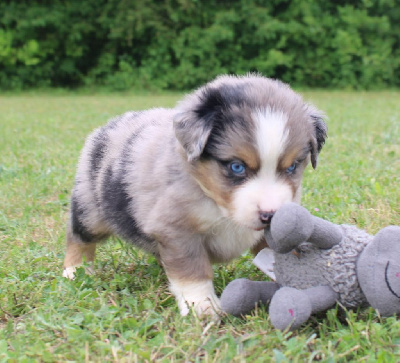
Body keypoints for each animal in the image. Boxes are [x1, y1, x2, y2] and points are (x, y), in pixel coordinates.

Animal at [61, 74, 324, 318]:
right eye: (236, 167)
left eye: (293, 167)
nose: (270, 215)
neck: (217, 204)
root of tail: (107, 126)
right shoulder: (176, 229)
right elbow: (192, 270)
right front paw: (202, 306)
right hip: (89, 208)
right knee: (78, 238)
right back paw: (75, 271)